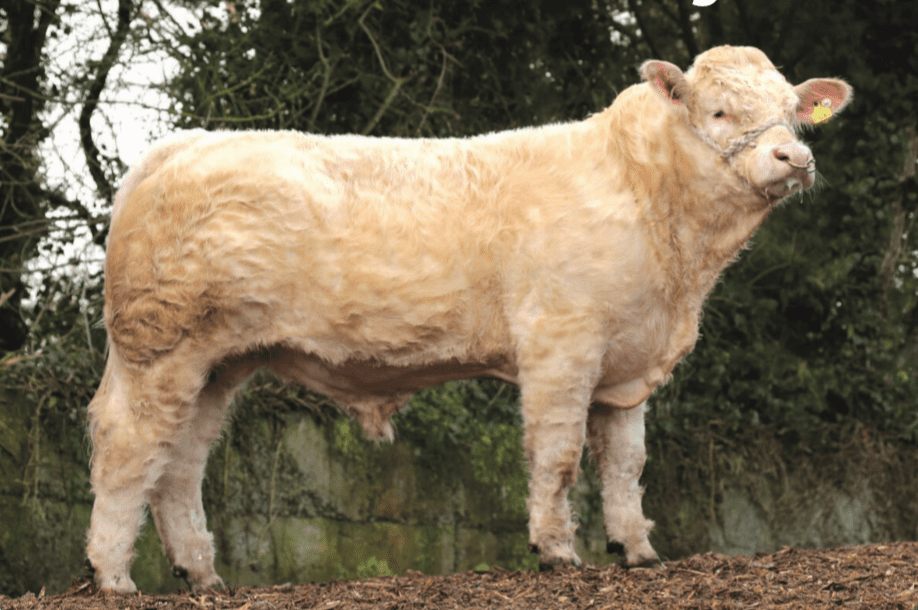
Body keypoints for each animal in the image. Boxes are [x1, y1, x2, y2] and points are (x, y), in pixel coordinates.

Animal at [85, 45, 852, 592]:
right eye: (718, 112)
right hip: (163, 348)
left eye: (792, 109)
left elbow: (626, 463)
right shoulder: (561, 343)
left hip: (219, 362)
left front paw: (638, 550)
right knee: (129, 449)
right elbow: (559, 455)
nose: (794, 156)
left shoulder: (629, 363)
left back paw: (201, 574)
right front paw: (557, 551)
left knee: (180, 462)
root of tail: (176, 147)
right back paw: (113, 576)